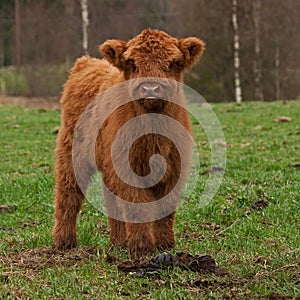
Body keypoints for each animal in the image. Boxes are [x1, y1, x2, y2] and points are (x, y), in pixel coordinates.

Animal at [52, 28, 205, 256]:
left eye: (171, 64)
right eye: (133, 64)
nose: (151, 88)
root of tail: (86, 62)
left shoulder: (174, 169)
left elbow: (165, 208)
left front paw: (165, 244)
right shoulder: (128, 170)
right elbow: (137, 206)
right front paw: (141, 247)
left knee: (111, 199)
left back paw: (117, 242)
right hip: (71, 153)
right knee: (68, 194)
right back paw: (64, 242)